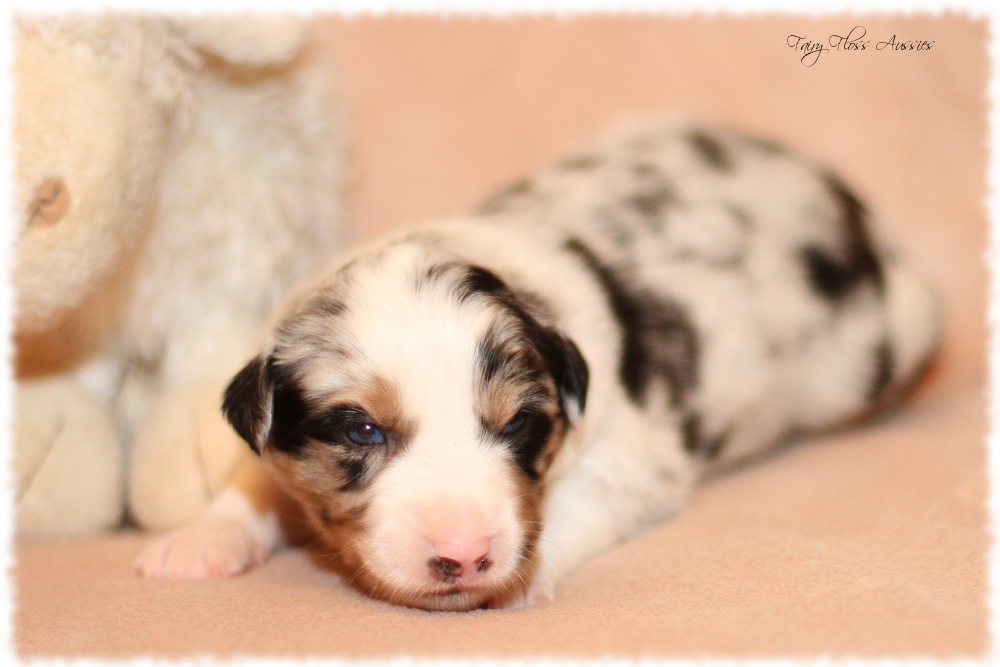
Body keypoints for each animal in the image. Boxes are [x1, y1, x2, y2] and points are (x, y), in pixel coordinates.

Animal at [137, 118, 940, 612]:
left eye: (519, 424)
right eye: (361, 429)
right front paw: (199, 541)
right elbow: (254, 481)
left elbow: (573, 506)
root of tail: (842, 197)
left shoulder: (633, 458)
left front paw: (517, 578)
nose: (464, 556)